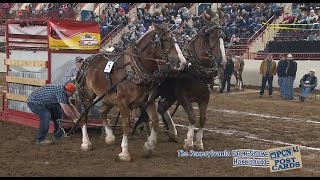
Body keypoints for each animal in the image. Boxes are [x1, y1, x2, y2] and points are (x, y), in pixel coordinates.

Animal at [75, 23, 186, 162]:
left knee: (102, 111)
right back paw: (86, 143)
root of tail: (87, 60)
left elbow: (154, 121)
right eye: (165, 40)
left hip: (108, 96)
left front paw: (149, 146)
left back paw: (110, 137)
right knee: (84, 114)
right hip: (88, 95)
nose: (183, 62)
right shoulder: (123, 102)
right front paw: (124, 152)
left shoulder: (148, 101)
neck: (135, 70)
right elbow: (126, 125)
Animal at [135, 20, 228, 150]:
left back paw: (171, 132)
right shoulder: (183, 97)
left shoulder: (205, 98)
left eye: (223, 37)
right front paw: (189, 141)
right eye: (212, 37)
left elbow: (203, 119)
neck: (195, 70)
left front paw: (199, 142)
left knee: (161, 108)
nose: (223, 61)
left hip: (169, 96)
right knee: (148, 108)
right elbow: (192, 116)